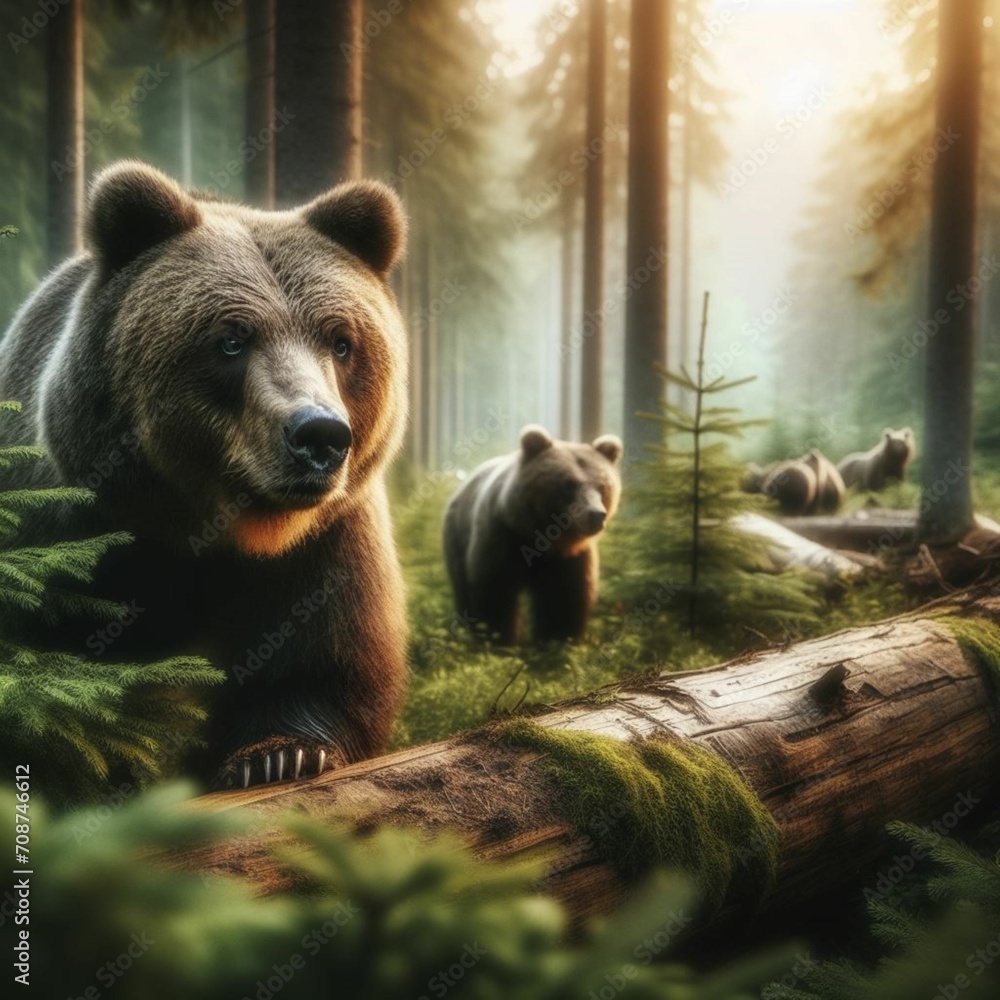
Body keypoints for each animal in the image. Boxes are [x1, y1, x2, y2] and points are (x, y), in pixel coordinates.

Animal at [0, 161, 410, 789]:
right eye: (232, 338)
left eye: (342, 341)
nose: (319, 435)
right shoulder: (56, 531)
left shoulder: (328, 538)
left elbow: (325, 653)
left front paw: (282, 753)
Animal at [442, 425, 622, 644]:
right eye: (569, 484)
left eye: (602, 486)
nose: (596, 514)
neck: (542, 537)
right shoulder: (502, 536)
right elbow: (495, 591)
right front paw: (498, 639)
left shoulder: (570, 558)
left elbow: (564, 598)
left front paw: (557, 640)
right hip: (457, 536)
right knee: (462, 588)